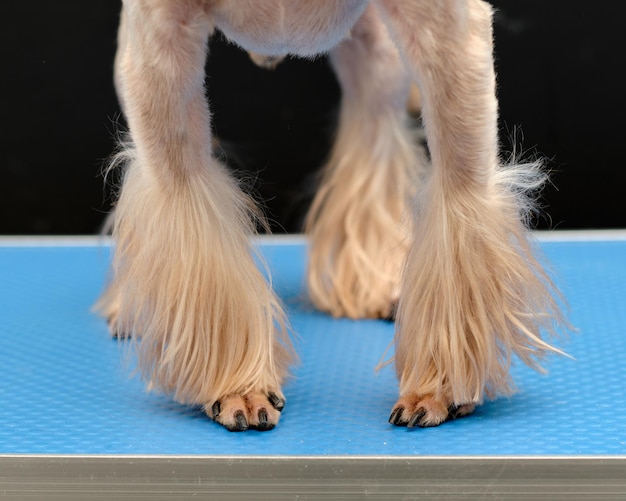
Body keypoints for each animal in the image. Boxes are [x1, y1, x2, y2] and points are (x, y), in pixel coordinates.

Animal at [100, 0, 564, 430]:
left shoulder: (449, 30)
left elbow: (459, 202)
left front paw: (441, 386)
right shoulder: (159, 40)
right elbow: (190, 214)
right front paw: (237, 387)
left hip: (377, 56)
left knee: (373, 137)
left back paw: (374, 286)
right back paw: (129, 306)